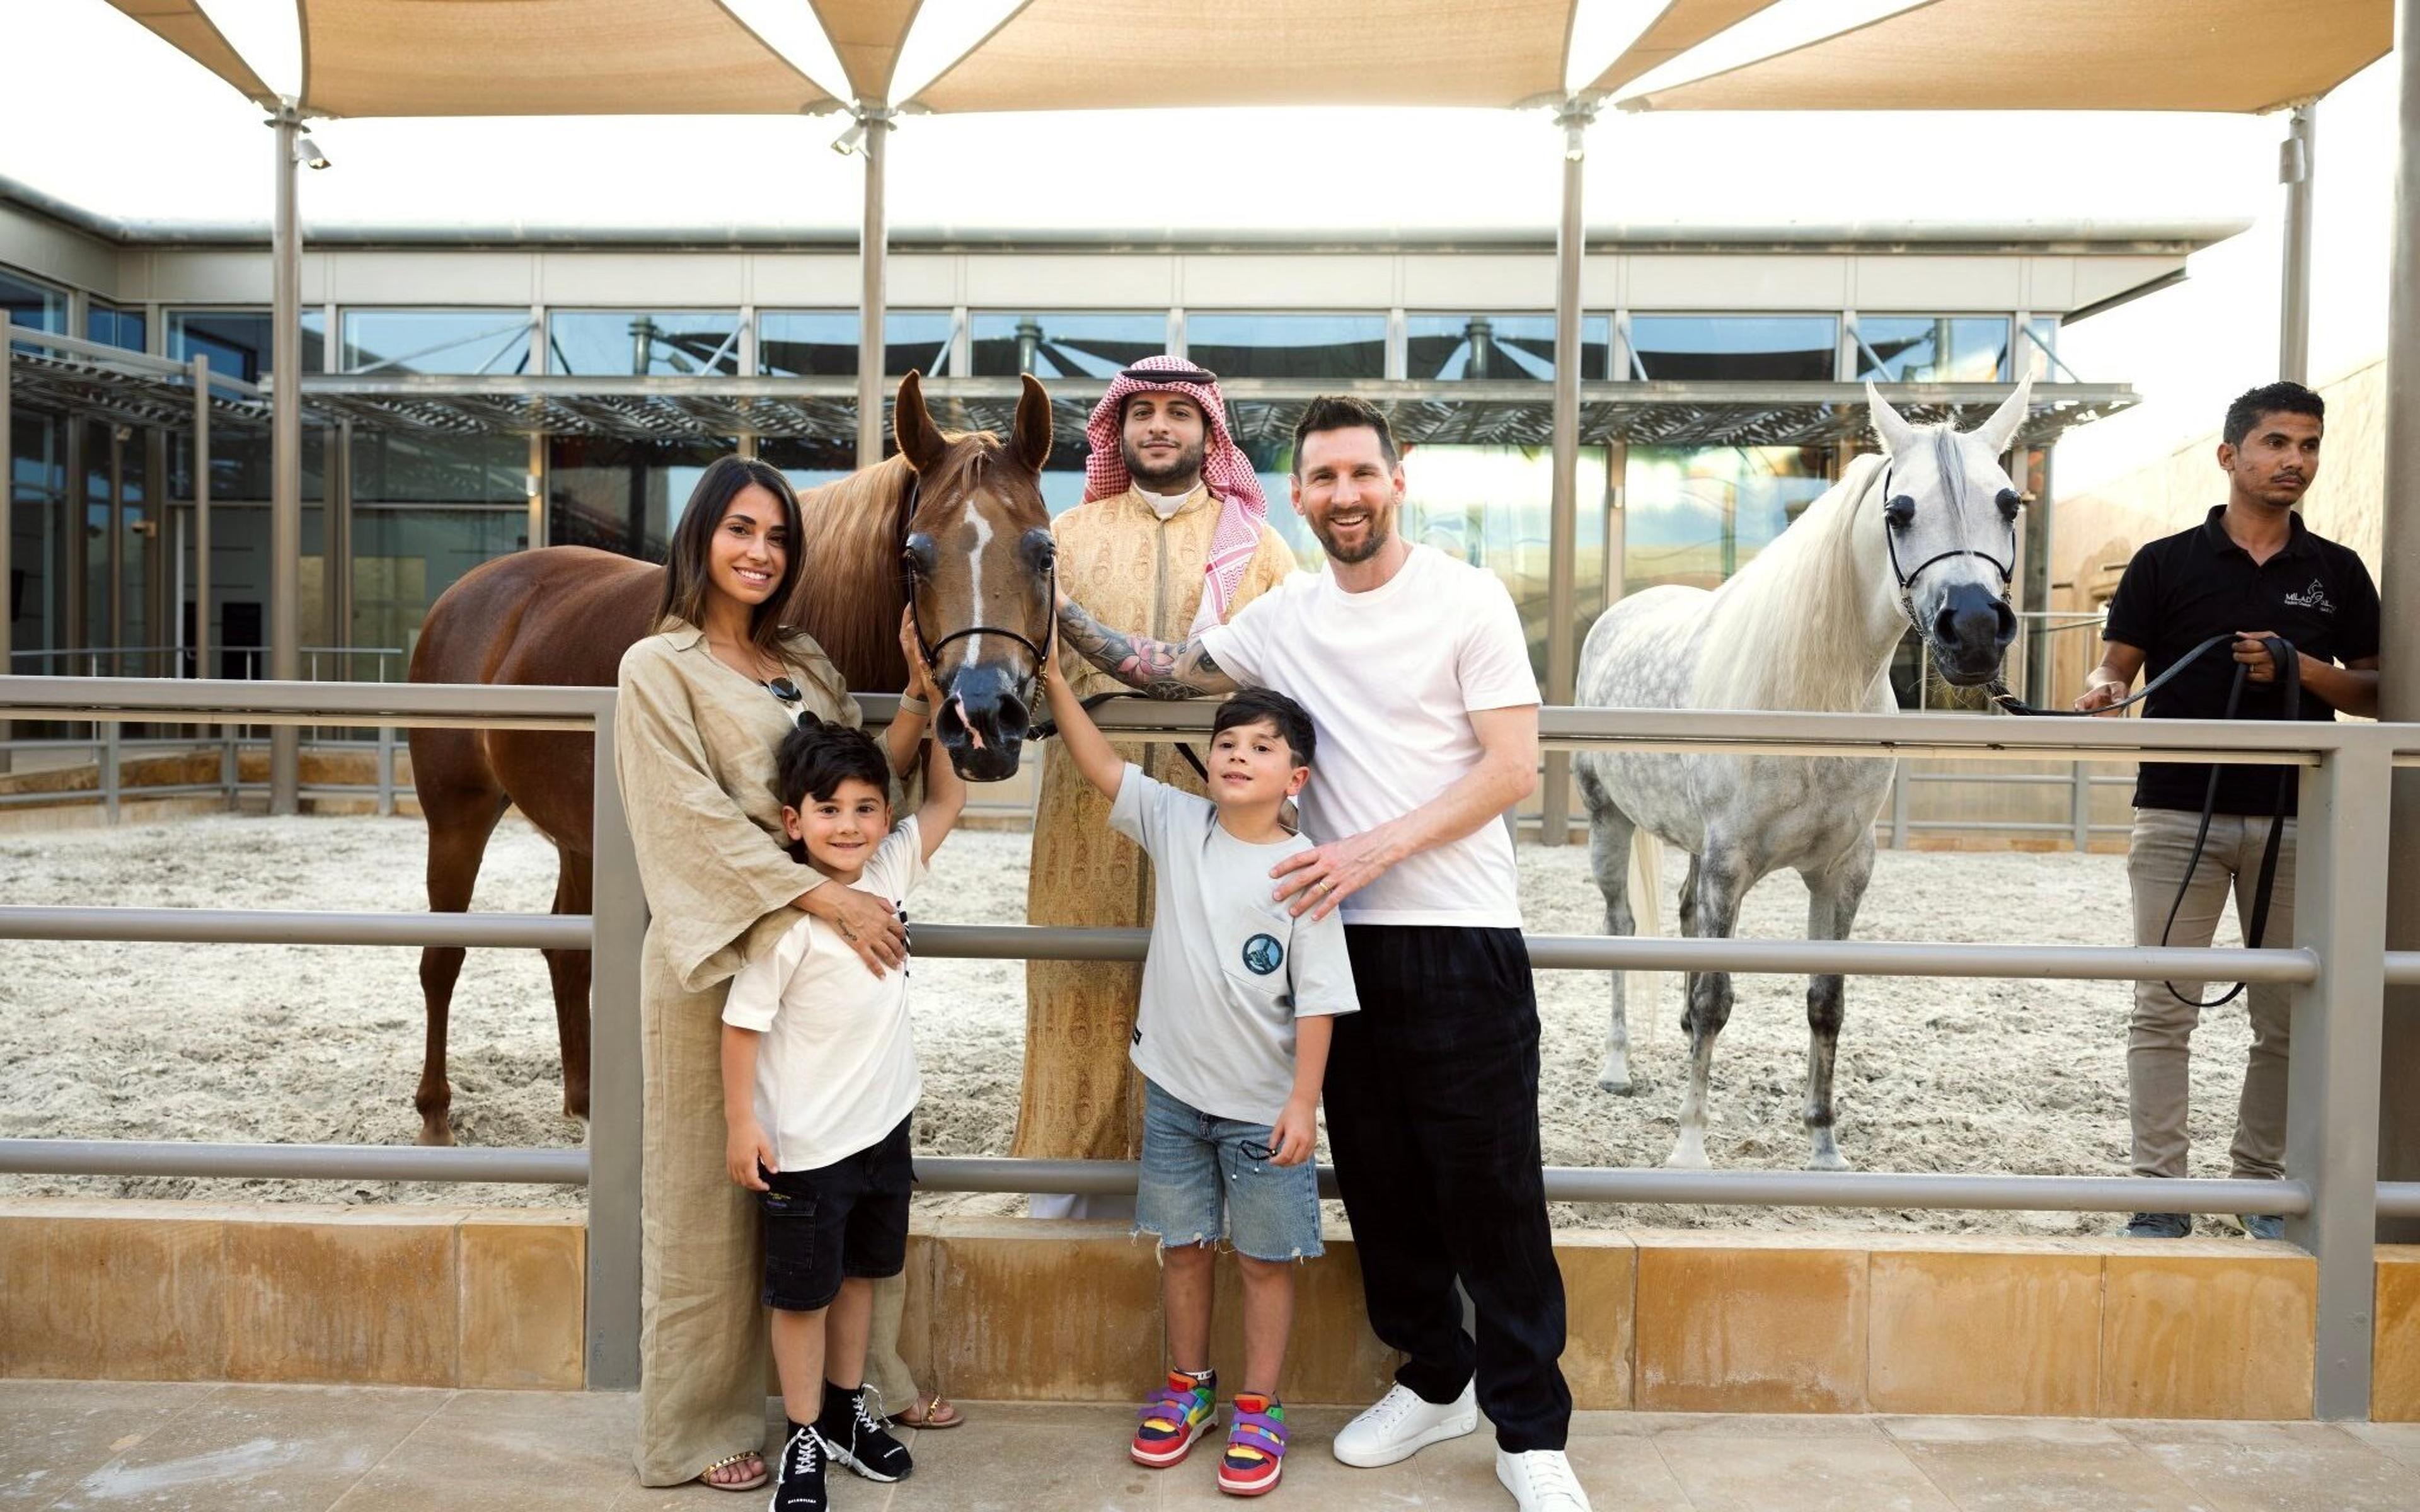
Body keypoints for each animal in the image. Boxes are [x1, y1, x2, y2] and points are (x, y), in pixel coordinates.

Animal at [408, 372, 1059, 1137]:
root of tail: (465, 598)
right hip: (457, 816)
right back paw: (436, 1114)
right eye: (914, 556)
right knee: (443, 956)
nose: (983, 717)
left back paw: (586, 1106)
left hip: (584, 838)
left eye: (1044, 552)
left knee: (567, 957)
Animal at [1577, 377, 2032, 1166]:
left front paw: (1824, 1147)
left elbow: (1826, 1002)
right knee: (1622, 926)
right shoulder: (1731, 862)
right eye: (1899, 511)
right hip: (1611, 820)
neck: (1814, 700)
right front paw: (1689, 1149)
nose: (1974, 629)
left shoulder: (1843, 871)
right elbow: (1717, 999)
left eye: (2009, 503)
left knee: (1685, 914)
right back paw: (1617, 1066)